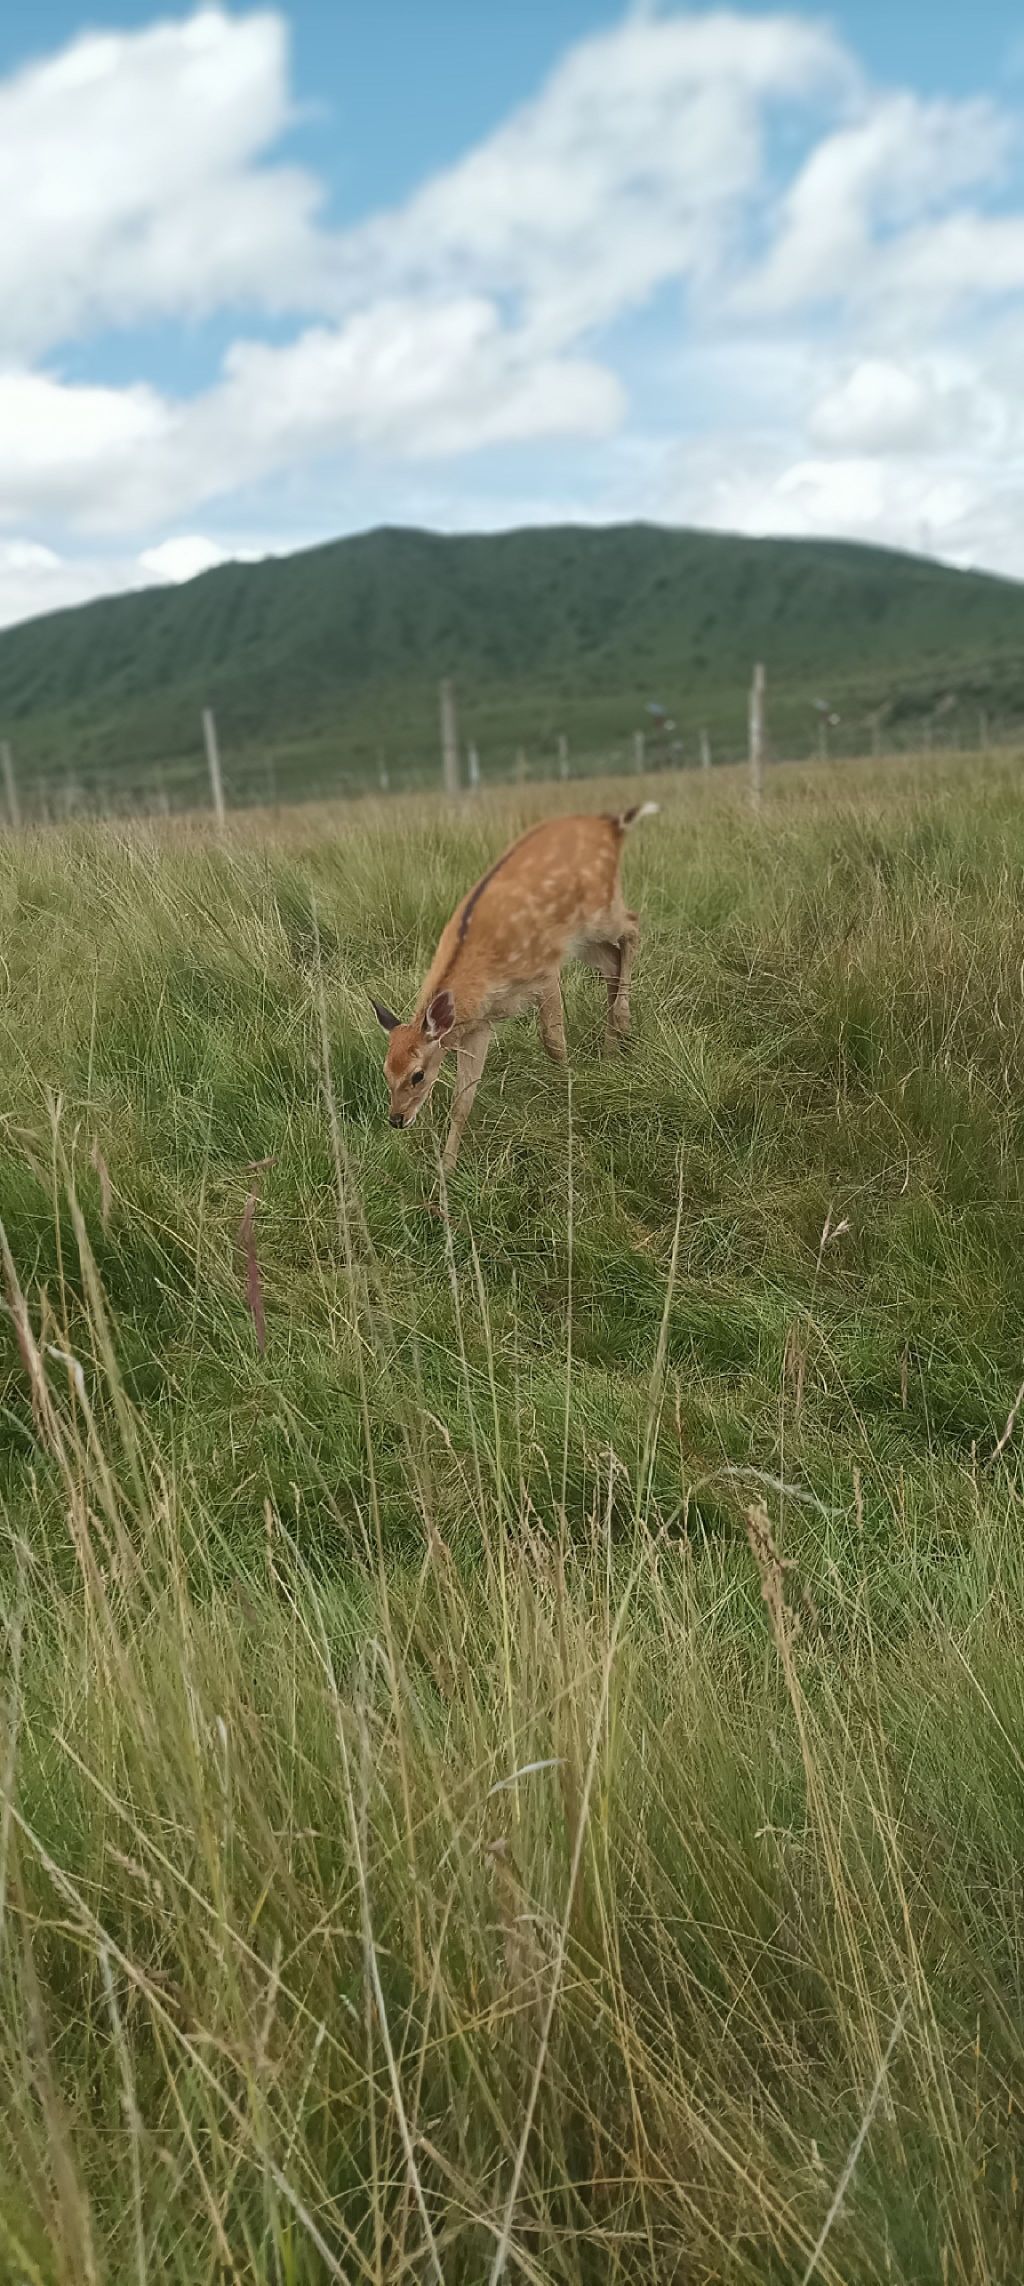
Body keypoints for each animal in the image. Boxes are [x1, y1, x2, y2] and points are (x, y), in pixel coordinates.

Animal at [371, 801, 658, 1171]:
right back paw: (611, 1050)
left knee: (633, 927)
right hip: (583, 940)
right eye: (385, 1070)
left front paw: (569, 1093)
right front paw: (446, 1168)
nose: (396, 1118)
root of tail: (612, 824)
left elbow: (553, 1043)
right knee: (613, 962)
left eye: (417, 1075)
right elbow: (462, 1100)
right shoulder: (480, 1025)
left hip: (600, 910)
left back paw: (622, 1022)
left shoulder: (545, 973)